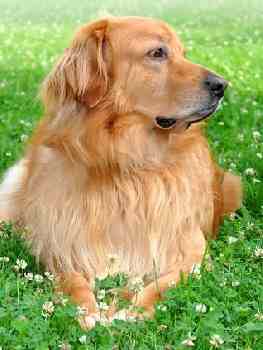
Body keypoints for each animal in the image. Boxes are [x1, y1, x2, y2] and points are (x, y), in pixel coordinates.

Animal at [0, 16, 242, 326]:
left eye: (183, 53)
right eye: (157, 53)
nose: (222, 85)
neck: (126, 161)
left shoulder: (191, 249)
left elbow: (163, 284)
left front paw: (131, 309)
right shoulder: (60, 245)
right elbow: (72, 282)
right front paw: (87, 310)